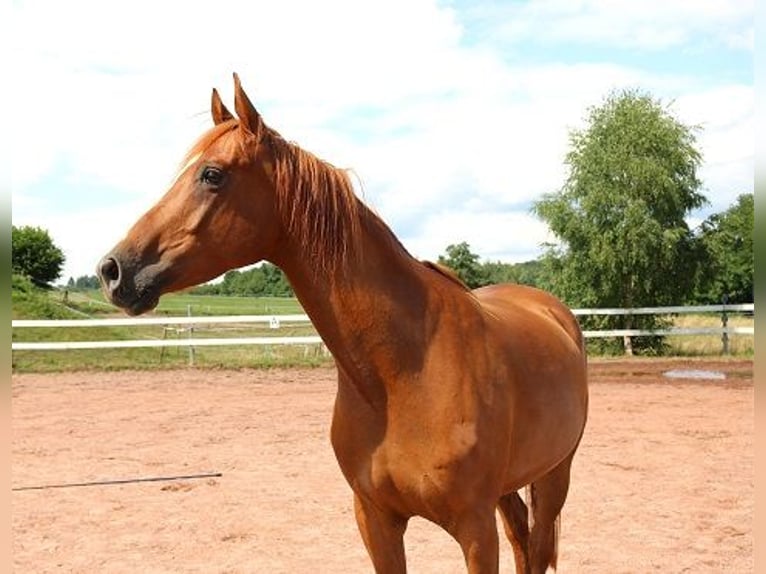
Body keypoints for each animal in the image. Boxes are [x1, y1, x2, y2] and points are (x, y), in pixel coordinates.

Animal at [97, 73, 588, 574]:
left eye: (211, 175)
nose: (113, 270)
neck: (405, 371)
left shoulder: (474, 529)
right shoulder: (375, 519)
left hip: (555, 475)